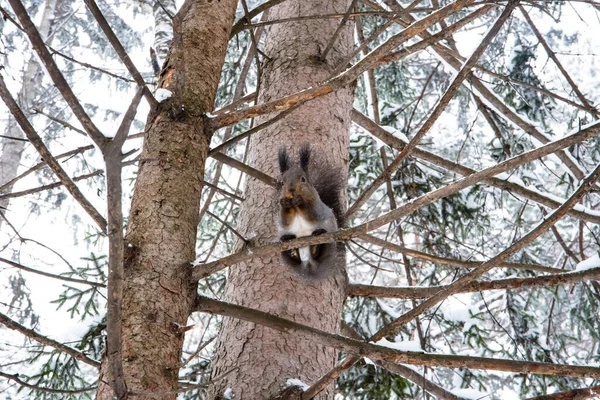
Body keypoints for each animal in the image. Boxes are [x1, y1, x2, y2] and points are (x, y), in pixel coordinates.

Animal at [278, 145, 344, 278]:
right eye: (282, 182)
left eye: (303, 179)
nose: (291, 189)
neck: (295, 208)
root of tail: (308, 264)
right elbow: (285, 222)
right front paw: (286, 204)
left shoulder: (317, 207)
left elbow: (313, 215)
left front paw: (300, 201)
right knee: (293, 258)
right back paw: (290, 246)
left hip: (330, 242)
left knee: (320, 251)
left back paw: (316, 244)